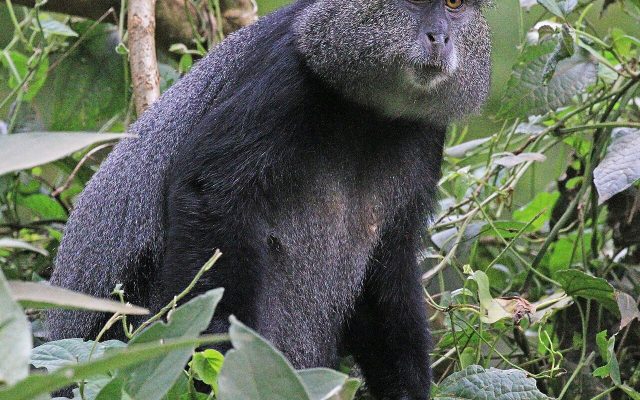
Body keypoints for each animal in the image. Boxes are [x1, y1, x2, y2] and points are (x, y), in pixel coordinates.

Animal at [48, 0, 491, 398]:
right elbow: (209, 193)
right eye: (413, 3)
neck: (368, 113)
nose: (440, 37)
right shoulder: (283, 78)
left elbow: (387, 265)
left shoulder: (427, 133)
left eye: (454, 4)